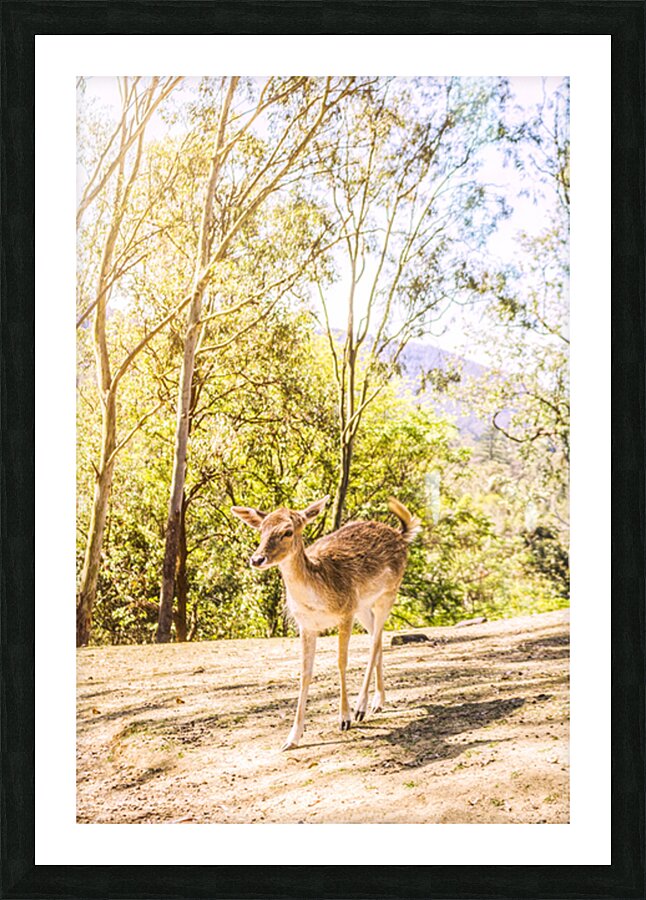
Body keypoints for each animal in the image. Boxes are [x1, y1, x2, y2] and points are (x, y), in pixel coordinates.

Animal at [231, 495, 421, 750]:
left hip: (388, 593)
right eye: (261, 530)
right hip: (363, 607)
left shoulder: (345, 613)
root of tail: (400, 534)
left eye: (288, 531)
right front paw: (292, 738)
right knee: (377, 637)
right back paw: (378, 701)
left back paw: (361, 707)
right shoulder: (307, 625)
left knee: (374, 642)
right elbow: (305, 672)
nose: (257, 559)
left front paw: (344, 719)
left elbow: (341, 662)